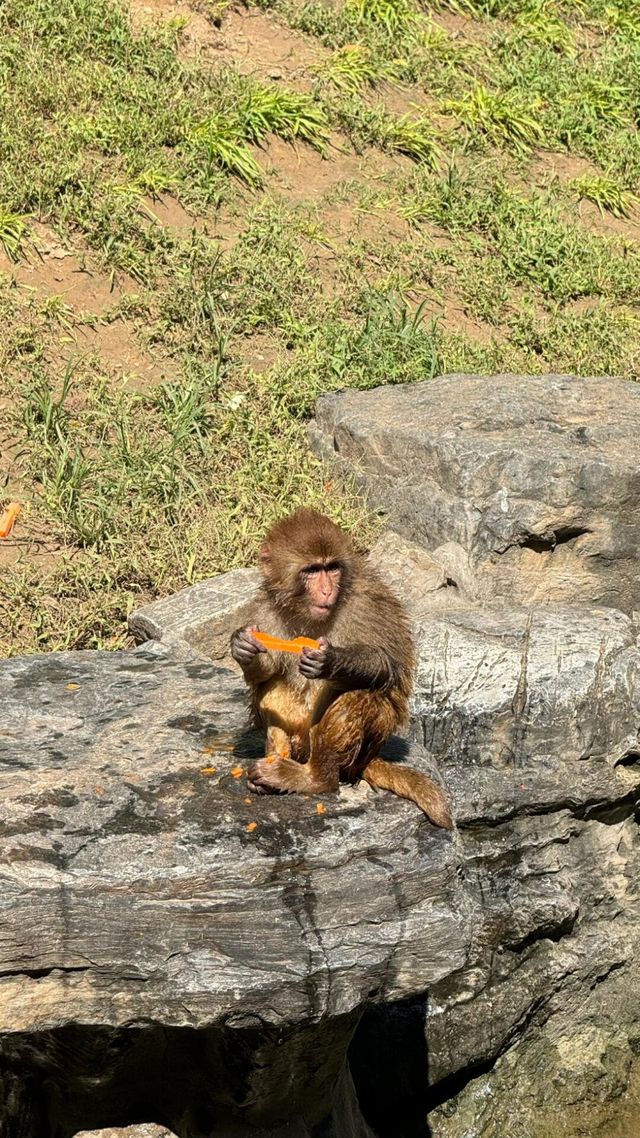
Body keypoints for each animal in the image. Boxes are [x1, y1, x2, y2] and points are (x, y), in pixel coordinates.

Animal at [228, 512, 453, 833]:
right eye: (312, 570)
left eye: (331, 568)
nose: (326, 590)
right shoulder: (265, 611)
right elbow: (265, 672)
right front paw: (242, 646)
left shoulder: (364, 603)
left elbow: (384, 663)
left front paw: (332, 660)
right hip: (300, 739)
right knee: (272, 691)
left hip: (357, 755)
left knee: (359, 695)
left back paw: (314, 779)